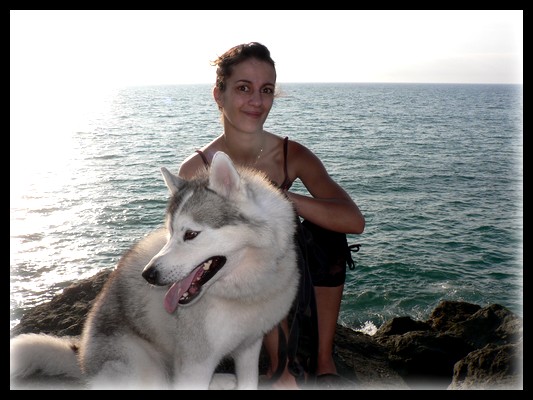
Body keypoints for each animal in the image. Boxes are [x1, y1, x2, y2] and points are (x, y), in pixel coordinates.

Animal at [9, 152, 300, 390]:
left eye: (190, 234)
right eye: (170, 232)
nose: (149, 275)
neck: (245, 289)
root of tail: (82, 361)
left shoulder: (249, 347)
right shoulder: (196, 363)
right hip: (140, 364)